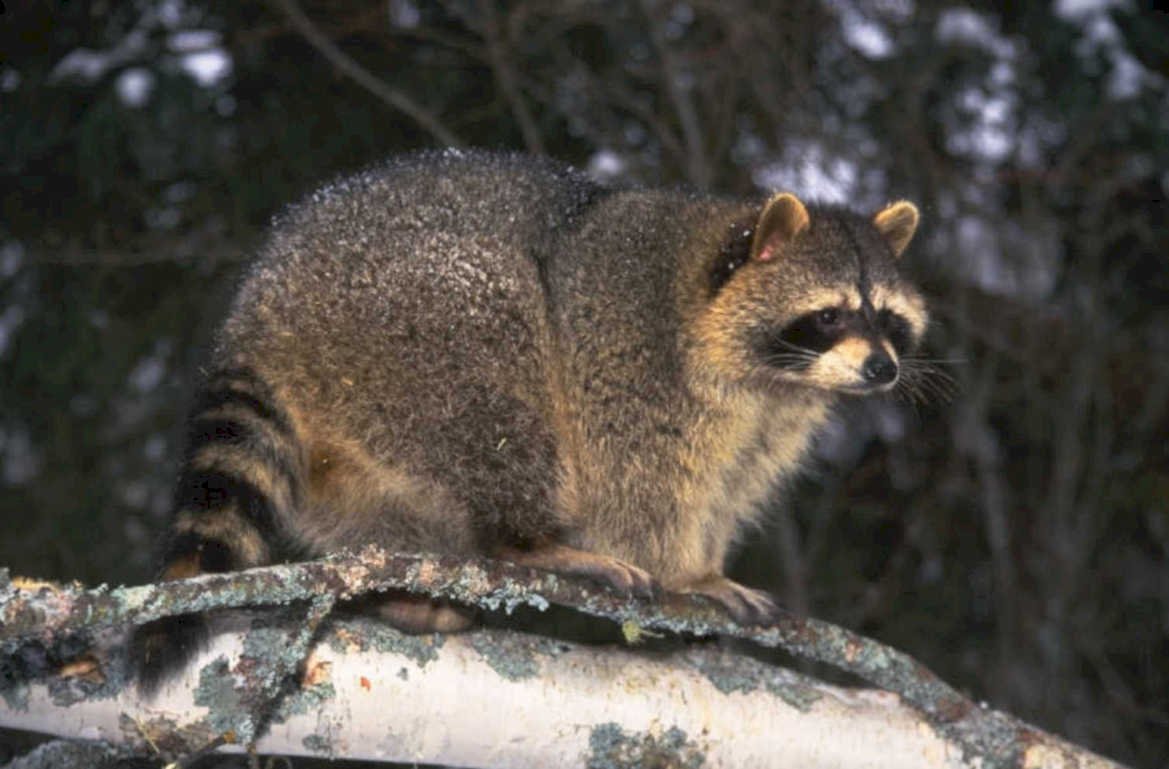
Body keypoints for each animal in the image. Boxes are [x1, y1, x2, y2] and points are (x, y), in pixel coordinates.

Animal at [134, 150, 927, 691]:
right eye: (829, 316)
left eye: (887, 319)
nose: (881, 370)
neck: (774, 377)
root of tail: (260, 312)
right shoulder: (628, 345)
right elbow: (638, 477)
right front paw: (683, 572)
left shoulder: (772, 419)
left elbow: (728, 485)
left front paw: (708, 558)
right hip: (407, 315)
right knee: (501, 378)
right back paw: (528, 542)